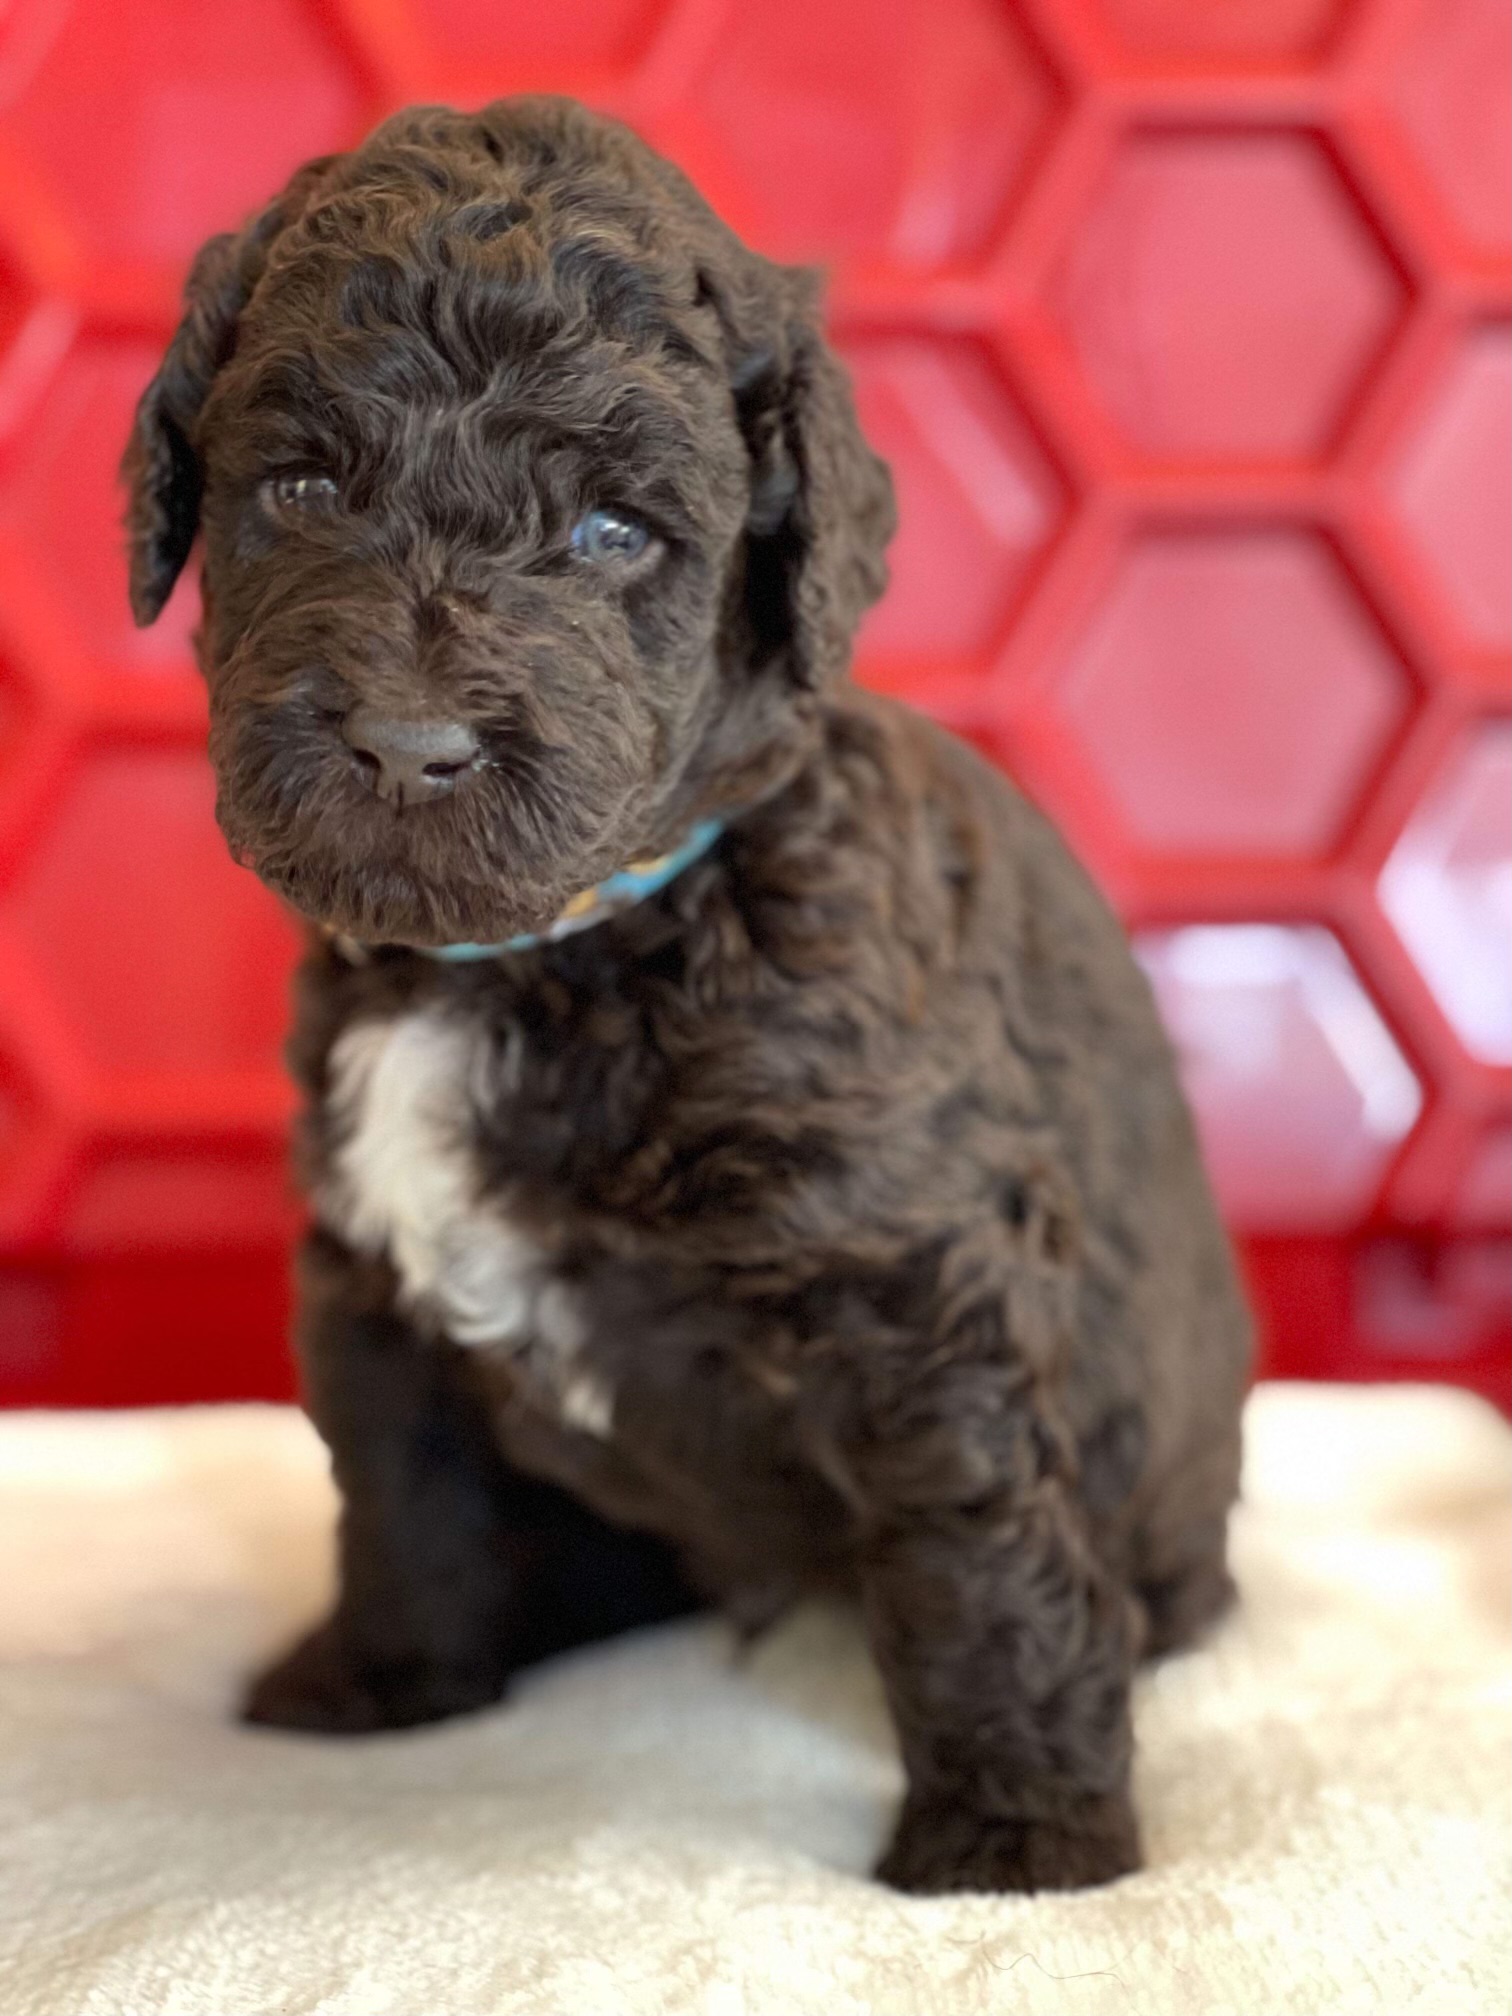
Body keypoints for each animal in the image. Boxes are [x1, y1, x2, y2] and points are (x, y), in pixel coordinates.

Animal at [123, 97, 1251, 1895]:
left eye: (610, 535)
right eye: (298, 486)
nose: (408, 746)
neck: (552, 957)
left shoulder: (914, 1275)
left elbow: (979, 1554)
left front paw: (1017, 1835)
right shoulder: (368, 1285)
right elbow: (401, 1496)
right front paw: (384, 1682)